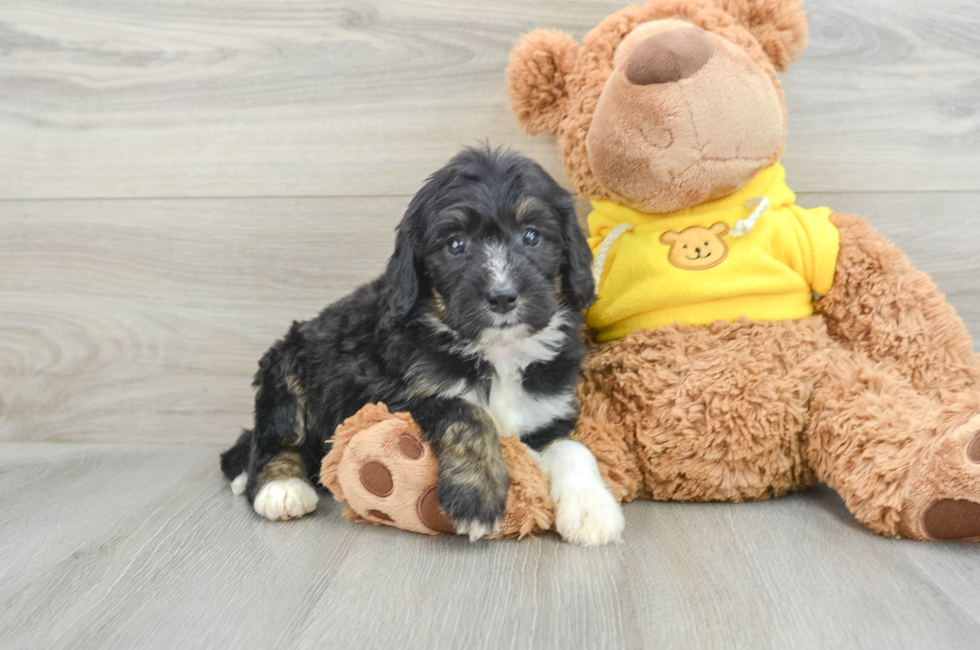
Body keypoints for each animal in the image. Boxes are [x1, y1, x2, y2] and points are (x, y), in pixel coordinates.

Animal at [219, 146, 624, 540]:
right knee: (275, 436)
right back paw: (280, 487)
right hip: (286, 365)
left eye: (531, 235)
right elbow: (466, 411)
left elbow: (574, 448)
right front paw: (476, 496)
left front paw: (593, 511)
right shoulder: (390, 397)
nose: (502, 297)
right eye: (456, 244)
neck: (497, 352)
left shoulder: (546, 410)